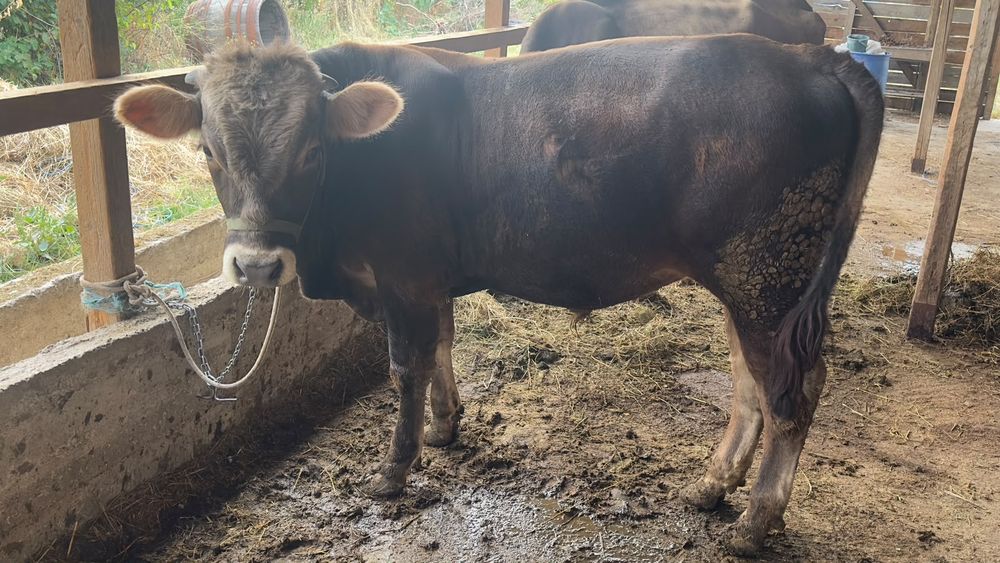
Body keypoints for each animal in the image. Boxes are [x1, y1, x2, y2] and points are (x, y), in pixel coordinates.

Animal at [113, 36, 883, 554]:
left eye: (310, 150)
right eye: (209, 151)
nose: (256, 265)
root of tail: (811, 57)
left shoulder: (401, 275)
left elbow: (405, 365)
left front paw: (394, 468)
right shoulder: (429, 277)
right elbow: (444, 347)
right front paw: (445, 426)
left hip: (768, 276)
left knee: (792, 393)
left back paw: (755, 520)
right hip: (746, 283)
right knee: (749, 384)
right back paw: (711, 485)